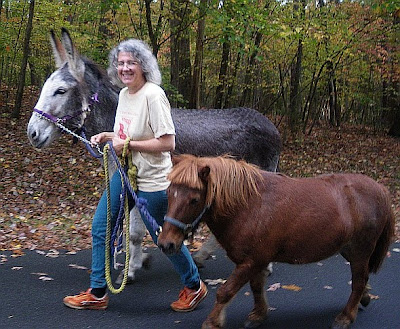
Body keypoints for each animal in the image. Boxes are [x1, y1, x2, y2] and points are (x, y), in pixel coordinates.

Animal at [158, 154, 396, 328]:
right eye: (169, 193)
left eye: (194, 199)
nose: (165, 243)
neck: (249, 206)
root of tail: (381, 190)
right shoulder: (255, 261)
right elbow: (256, 287)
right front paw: (258, 314)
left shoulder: (251, 261)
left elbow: (225, 291)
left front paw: (213, 322)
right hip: (348, 249)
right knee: (362, 278)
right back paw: (363, 299)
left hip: (360, 250)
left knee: (358, 281)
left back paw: (346, 316)